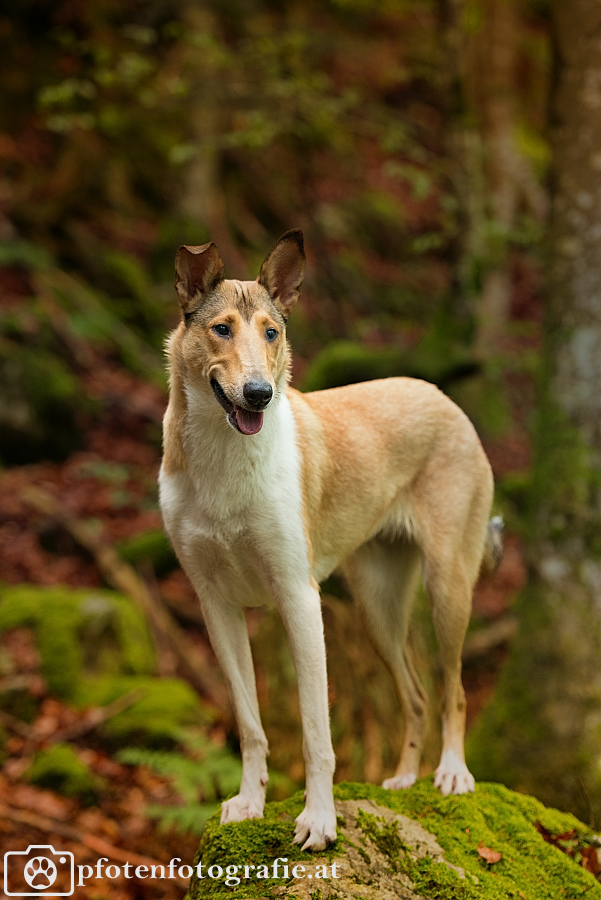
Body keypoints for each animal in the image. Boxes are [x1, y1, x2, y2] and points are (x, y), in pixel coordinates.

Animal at [157, 230, 500, 852]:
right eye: (221, 329)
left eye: (272, 332)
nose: (259, 394)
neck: (225, 461)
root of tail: (442, 395)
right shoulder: (216, 605)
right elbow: (250, 723)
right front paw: (250, 803)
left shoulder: (299, 598)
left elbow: (316, 731)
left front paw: (319, 821)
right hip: (376, 610)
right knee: (416, 696)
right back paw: (404, 779)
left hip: (448, 587)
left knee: (454, 689)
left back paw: (451, 774)